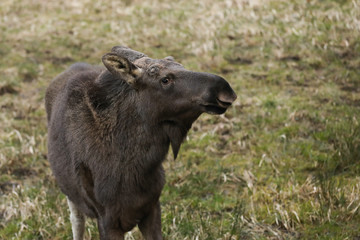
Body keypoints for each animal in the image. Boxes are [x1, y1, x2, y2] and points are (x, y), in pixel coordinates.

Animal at [44, 46, 236, 239]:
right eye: (165, 79)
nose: (224, 88)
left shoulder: (151, 207)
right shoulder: (106, 220)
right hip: (71, 194)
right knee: (76, 220)